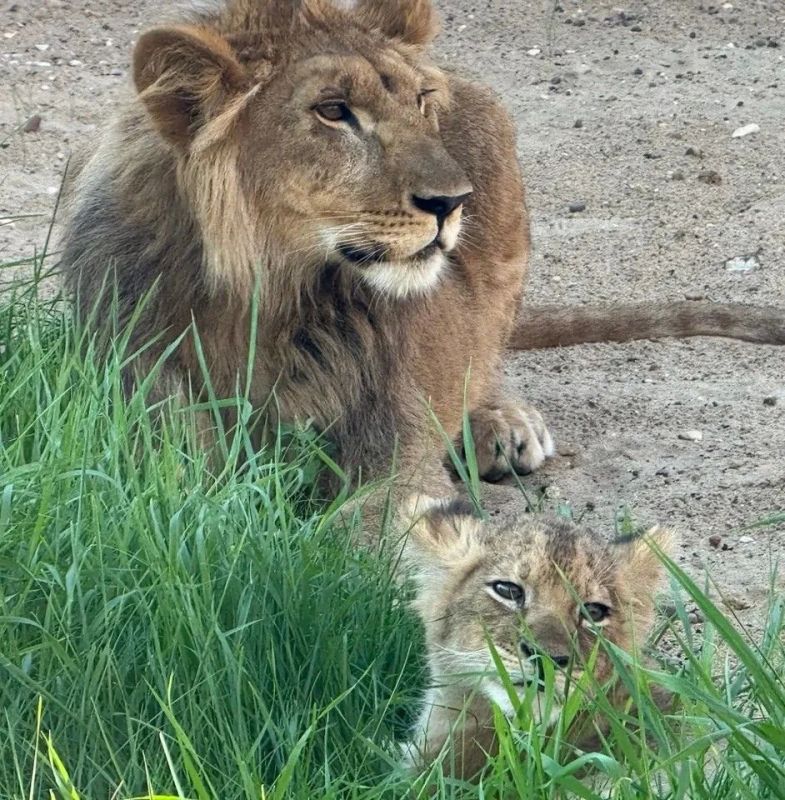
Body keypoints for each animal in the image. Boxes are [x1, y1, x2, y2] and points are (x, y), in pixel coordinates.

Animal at [60, 0, 784, 522]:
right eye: (332, 111)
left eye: (418, 102)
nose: (452, 201)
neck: (270, 295)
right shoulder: (139, 427)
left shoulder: (394, 446)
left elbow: (363, 525)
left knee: (485, 349)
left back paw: (501, 424)